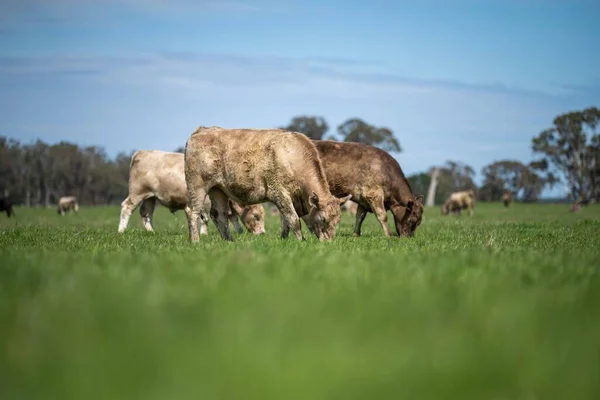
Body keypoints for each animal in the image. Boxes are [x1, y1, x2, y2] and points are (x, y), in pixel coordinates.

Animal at [117, 152, 264, 236]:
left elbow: (232, 217)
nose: (262, 233)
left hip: (150, 197)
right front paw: (203, 234)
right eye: (256, 216)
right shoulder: (206, 204)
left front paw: (239, 232)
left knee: (146, 213)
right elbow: (205, 219)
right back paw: (121, 231)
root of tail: (141, 152)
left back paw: (151, 232)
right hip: (137, 192)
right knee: (127, 207)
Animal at [185, 126, 350, 242]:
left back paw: (229, 241)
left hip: (218, 190)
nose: (328, 242)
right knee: (193, 213)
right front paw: (301, 240)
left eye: (338, 221)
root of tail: (201, 130)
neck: (292, 157)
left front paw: (285, 240)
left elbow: (286, 222)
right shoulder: (279, 193)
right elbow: (293, 219)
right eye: (324, 219)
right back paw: (195, 241)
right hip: (197, 187)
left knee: (219, 215)